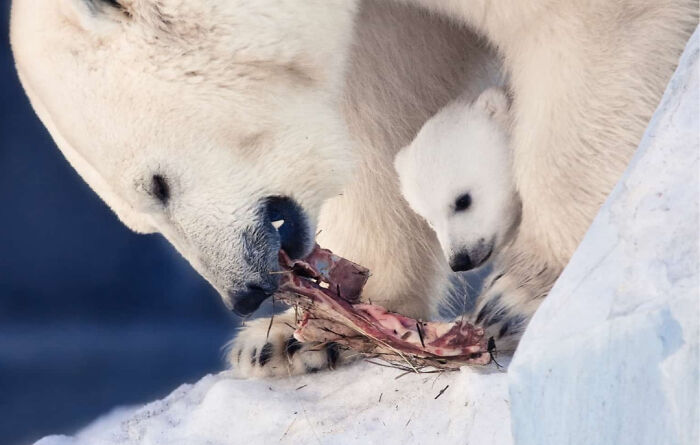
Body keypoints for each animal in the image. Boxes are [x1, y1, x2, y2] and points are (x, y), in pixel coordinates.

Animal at [10, 0, 696, 377]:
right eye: (141, 216)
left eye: (156, 185)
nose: (243, 293)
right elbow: (381, 88)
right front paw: (290, 339)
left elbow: (596, 35)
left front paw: (520, 294)